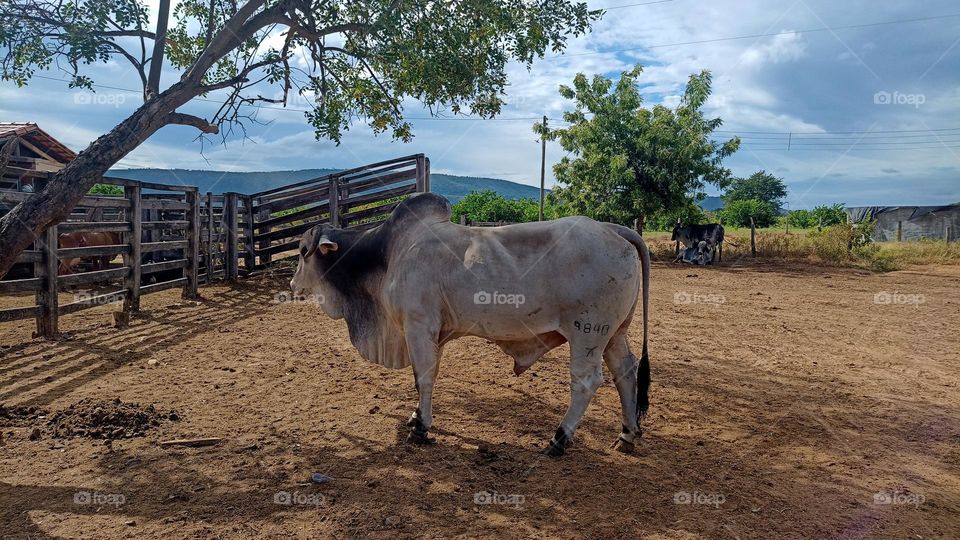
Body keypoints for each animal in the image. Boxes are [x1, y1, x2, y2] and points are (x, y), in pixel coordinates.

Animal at [290, 193, 651, 457]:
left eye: (304, 251)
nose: (293, 285)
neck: (387, 253)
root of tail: (612, 228)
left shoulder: (418, 325)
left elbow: (423, 377)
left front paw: (420, 428)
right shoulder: (432, 331)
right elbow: (424, 376)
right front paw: (415, 417)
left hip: (587, 332)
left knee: (586, 381)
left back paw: (559, 439)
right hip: (615, 333)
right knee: (625, 371)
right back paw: (627, 434)